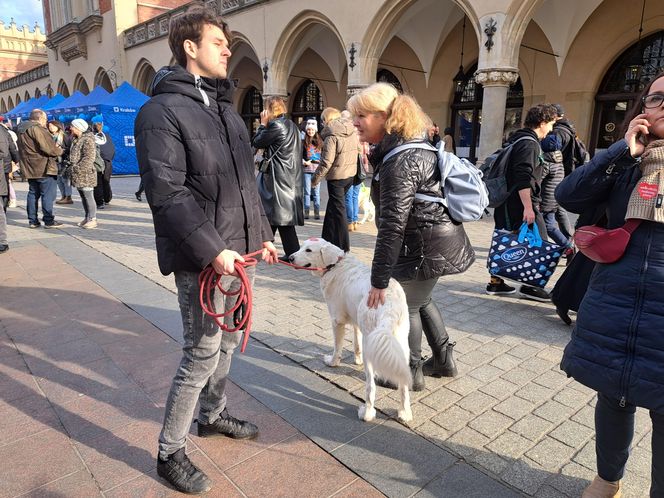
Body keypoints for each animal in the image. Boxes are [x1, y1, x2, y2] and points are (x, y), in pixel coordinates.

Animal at [290, 239, 410, 422]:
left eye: (308, 250)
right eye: (301, 246)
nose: (289, 257)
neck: (334, 265)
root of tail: (388, 307)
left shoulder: (336, 320)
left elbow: (337, 347)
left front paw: (333, 362)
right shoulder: (356, 322)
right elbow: (356, 344)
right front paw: (357, 360)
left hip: (372, 348)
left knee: (371, 387)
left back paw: (367, 413)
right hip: (401, 344)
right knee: (403, 384)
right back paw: (405, 412)